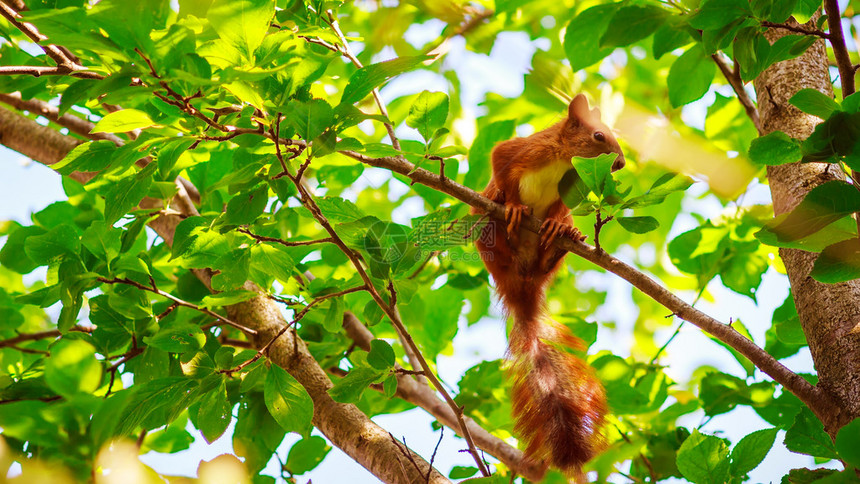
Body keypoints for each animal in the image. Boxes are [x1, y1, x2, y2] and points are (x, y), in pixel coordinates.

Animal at [470, 93, 624, 476]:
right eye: (599, 136)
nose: (621, 164)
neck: (563, 159)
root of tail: (521, 285)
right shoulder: (520, 151)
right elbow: (501, 163)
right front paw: (511, 203)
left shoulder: (567, 193)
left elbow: (557, 206)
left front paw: (555, 225)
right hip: (486, 236)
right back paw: (505, 217)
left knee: (548, 252)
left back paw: (559, 240)